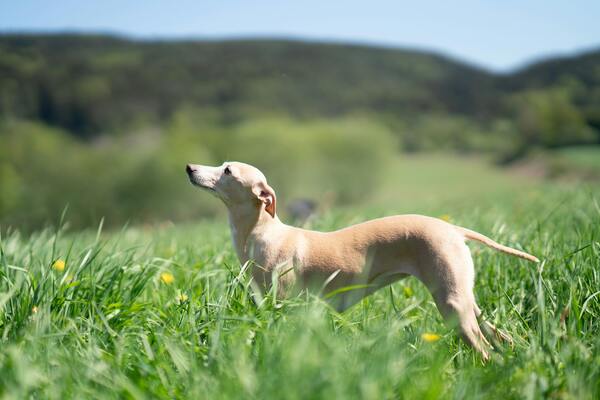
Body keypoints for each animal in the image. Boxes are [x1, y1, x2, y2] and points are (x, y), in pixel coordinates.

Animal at [184, 161, 540, 358]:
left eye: (227, 170)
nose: (189, 168)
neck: (264, 232)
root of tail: (452, 228)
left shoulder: (283, 306)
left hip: (453, 305)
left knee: (485, 351)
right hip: (465, 300)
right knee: (500, 337)